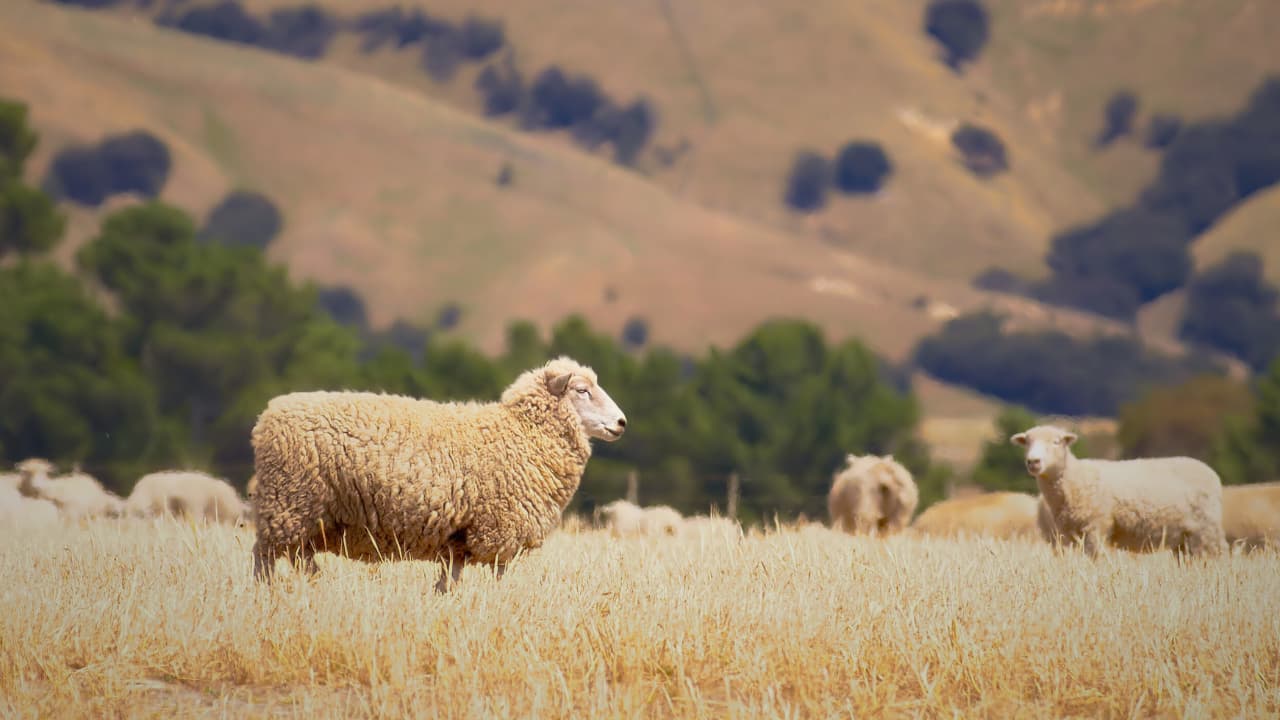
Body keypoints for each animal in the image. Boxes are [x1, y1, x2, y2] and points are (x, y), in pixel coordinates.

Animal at [249, 355, 627, 591]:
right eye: (582, 390)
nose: (622, 422)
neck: (521, 431)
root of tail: (266, 418)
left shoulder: (458, 537)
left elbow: (450, 582)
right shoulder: (501, 530)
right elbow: (499, 578)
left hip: (307, 514)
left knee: (298, 557)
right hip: (288, 502)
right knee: (264, 558)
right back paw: (266, 597)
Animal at [1011, 424, 1228, 557]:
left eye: (1056, 442)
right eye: (1027, 443)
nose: (1033, 461)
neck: (1075, 478)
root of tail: (1212, 474)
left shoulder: (1097, 526)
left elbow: (1096, 557)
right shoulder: (1068, 535)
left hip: (1206, 527)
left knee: (1220, 552)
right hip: (1184, 536)